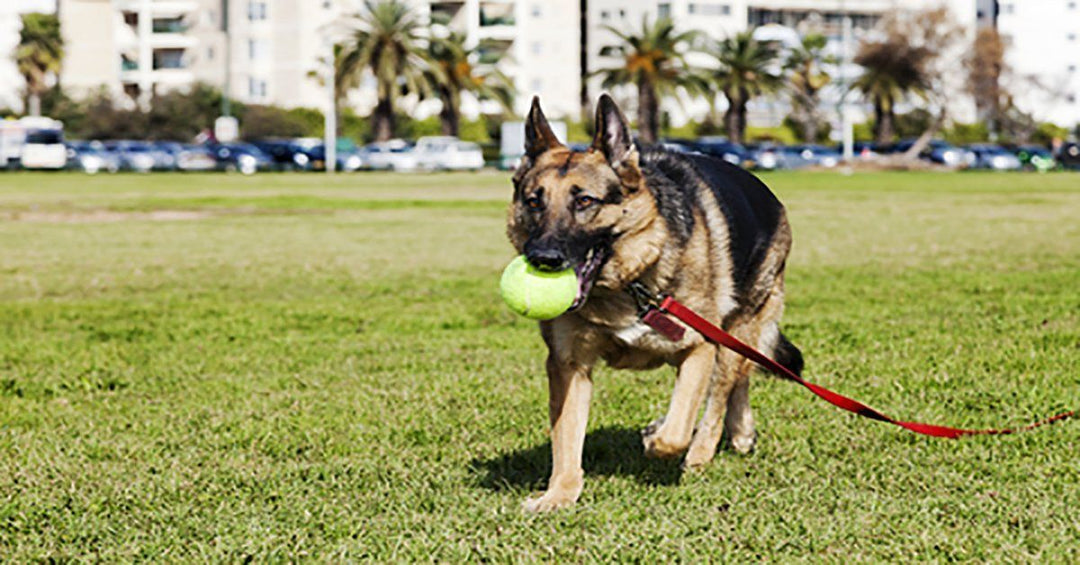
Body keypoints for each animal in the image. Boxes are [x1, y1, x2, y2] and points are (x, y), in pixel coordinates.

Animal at [505, 93, 803, 512]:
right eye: (534, 202)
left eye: (585, 201)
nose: (543, 258)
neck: (628, 286)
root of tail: (763, 188)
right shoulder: (568, 366)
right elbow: (566, 440)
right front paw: (559, 494)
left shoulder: (700, 347)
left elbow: (677, 430)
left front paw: (659, 437)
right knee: (740, 378)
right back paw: (741, 432)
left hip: (735, 331)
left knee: (721, 395)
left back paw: (701, 452)